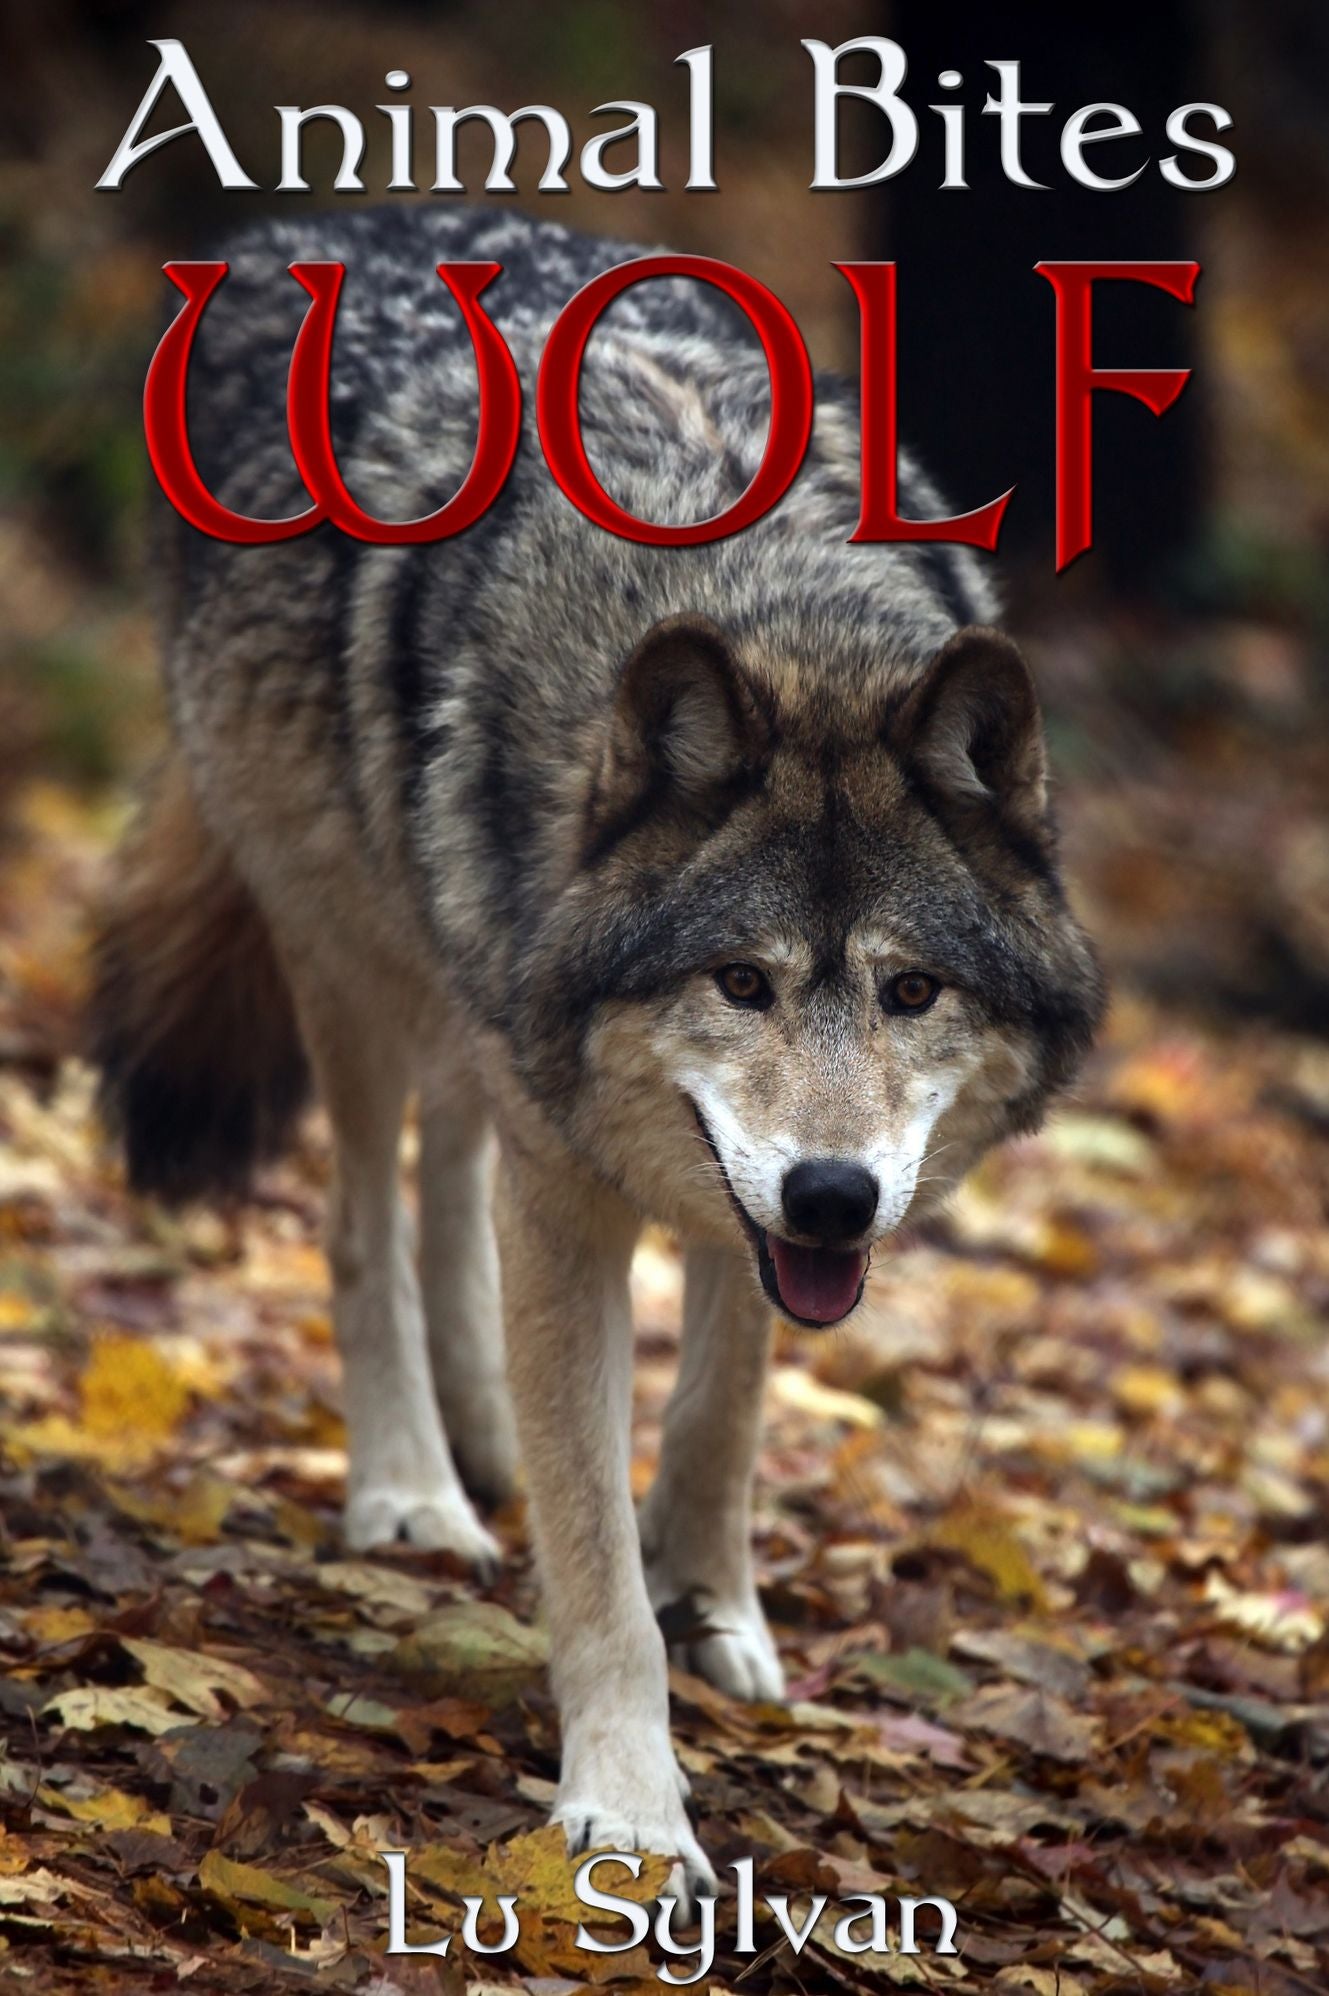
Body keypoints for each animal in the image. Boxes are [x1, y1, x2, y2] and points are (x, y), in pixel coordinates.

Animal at [91, 206, 1104, 1906]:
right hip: (352, 954)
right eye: (738, 981)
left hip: (468, 1005)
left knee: (447, 1180)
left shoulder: (736, 1208)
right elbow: (590, 1550)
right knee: (362, 1219)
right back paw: (416, 1489)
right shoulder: (577, 1184)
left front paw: (713, 1603)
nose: (836, 1197)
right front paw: (629, 1808)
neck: (763, 602)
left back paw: (479, 1434)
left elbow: (724, 1402)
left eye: (908, 991)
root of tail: (298, 225)